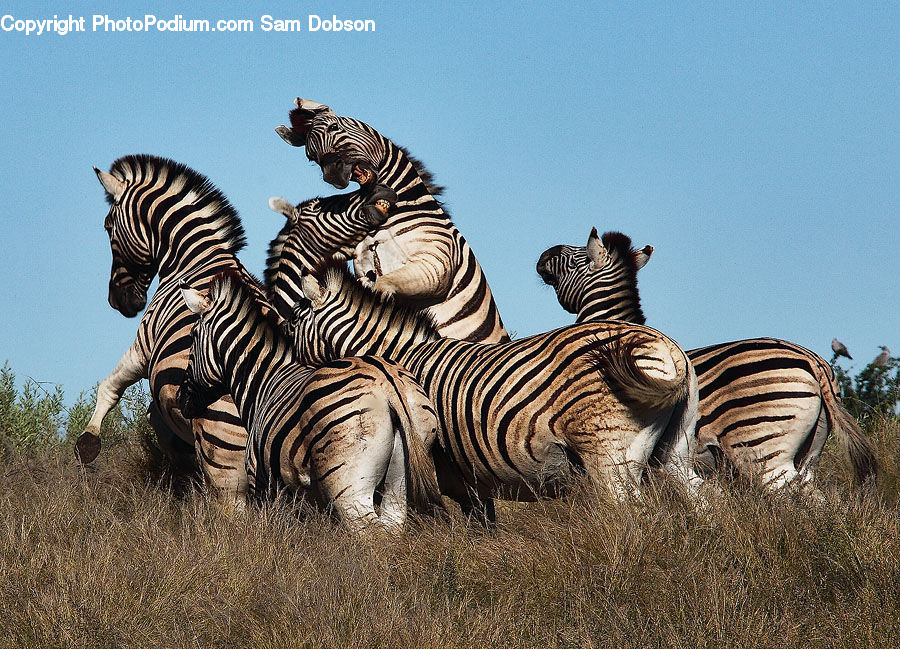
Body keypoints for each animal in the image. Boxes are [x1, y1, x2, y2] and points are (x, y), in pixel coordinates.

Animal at [78, 154, 274, 508]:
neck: (193, 255)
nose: (118, 302)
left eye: (108, 226)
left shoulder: (144, 346)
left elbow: (110, 387)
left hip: (224, 461)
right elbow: (157, 420)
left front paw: (88, 443)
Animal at [177, 270, 442, 529]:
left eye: (192, 337)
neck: (264, 381)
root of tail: (387, 381)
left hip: (349, 484)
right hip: (401, 476)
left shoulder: (264, 483)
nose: (180, 399)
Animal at [275, 97, 509, 344]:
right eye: (311, 157)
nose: (332, 175)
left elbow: (382, 284)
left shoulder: (436, 264)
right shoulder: (362, 262)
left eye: (334, 127)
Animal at [285, 259, 705, 520]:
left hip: (610, 458)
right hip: (675, 451)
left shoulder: (446, 477)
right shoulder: (473, 482)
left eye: (293, 322)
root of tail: (669, 351)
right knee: (704, 502)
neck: (399, 358)